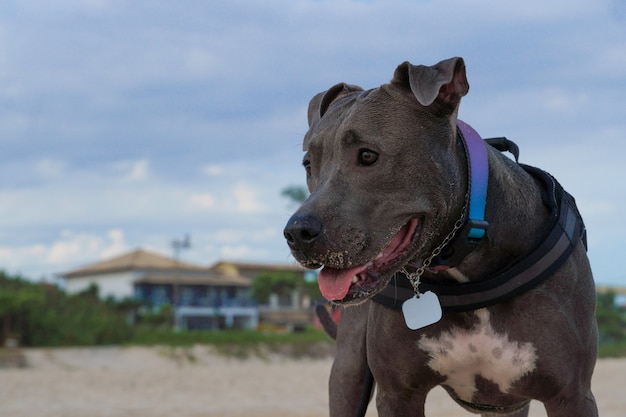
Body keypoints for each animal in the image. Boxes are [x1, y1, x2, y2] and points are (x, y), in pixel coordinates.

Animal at [282, 57, 596, 416]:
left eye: (368, 155)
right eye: (309, 164)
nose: (297, 233)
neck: (465, 260)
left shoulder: (571, 395)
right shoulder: (398, 394)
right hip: (348, 372)